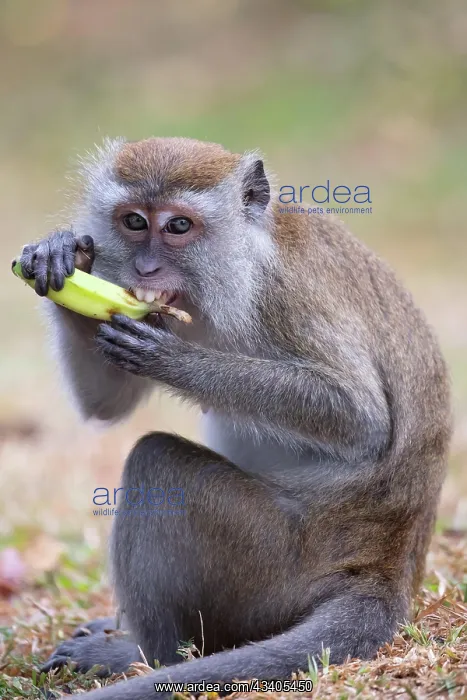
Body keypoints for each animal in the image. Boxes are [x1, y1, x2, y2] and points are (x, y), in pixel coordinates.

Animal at [19, 137, 451, 700]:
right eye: (134, 221)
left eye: (178, 226)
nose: (145, 270)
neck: (242, 259)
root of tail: (385, 564)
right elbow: (106, 406)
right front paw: (63, 255)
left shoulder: (283, 297)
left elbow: (361, 419)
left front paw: (175, 361)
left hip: (271, 566)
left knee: (156, 461)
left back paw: (144, 655)